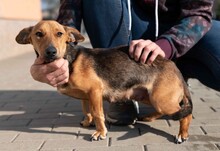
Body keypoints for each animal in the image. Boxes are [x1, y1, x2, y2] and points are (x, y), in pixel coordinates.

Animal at [15, 20, 192, 143]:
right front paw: (87, 122)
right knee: (170, 111)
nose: (51, 52)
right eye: (38, 34)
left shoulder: (95, 91)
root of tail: (172, 65)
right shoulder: (86, 96)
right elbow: (87, 110)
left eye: (59, 33)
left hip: (160, 99)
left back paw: (182, 134)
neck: (70, 59)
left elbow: (97, 113)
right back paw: (148, 117)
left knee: (186, 114)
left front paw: (100, 132)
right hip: (147, 96)